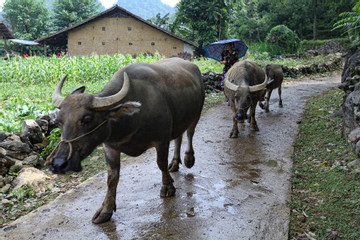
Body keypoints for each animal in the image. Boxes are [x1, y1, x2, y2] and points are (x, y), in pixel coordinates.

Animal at [48, 57, 205, 223]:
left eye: (87, 119)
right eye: (58, 122)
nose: (58, 164)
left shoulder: (161, 139)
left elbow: (161, 163)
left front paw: (168, 187)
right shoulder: (110, 147)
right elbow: (112, 178)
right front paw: (106, 209)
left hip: (196, 113)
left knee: (190, 133)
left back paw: (188, 158)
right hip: (179, 120)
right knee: (178, 138)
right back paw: (174, 163)